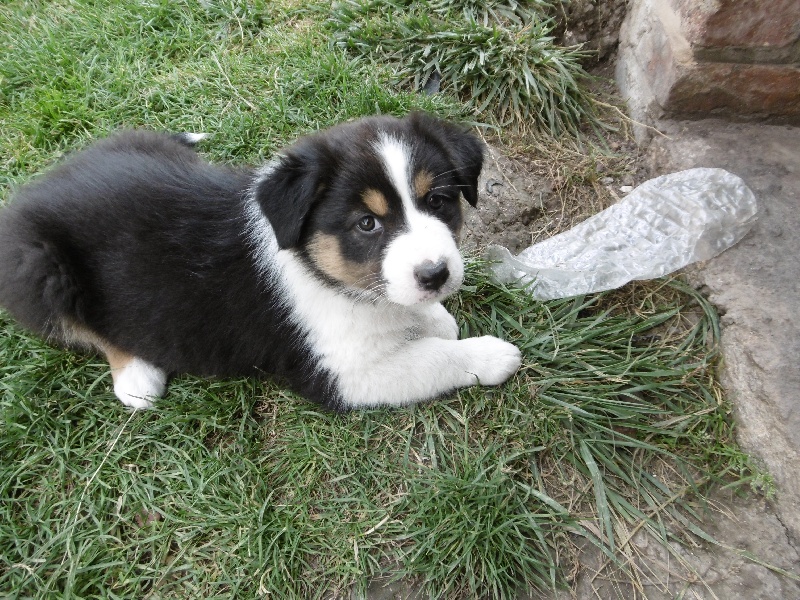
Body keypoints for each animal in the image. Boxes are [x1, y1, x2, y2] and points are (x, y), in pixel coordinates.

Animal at [0, 113, 522, 410]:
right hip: (42, 271)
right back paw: (136, 375)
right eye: (366, 224)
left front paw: (434, 317)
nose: (435, 275)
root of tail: (35, 189)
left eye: (438, 200)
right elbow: (432, 359)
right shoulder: (340, 376)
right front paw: (489, 355)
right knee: (81, 328)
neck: (324, 274)